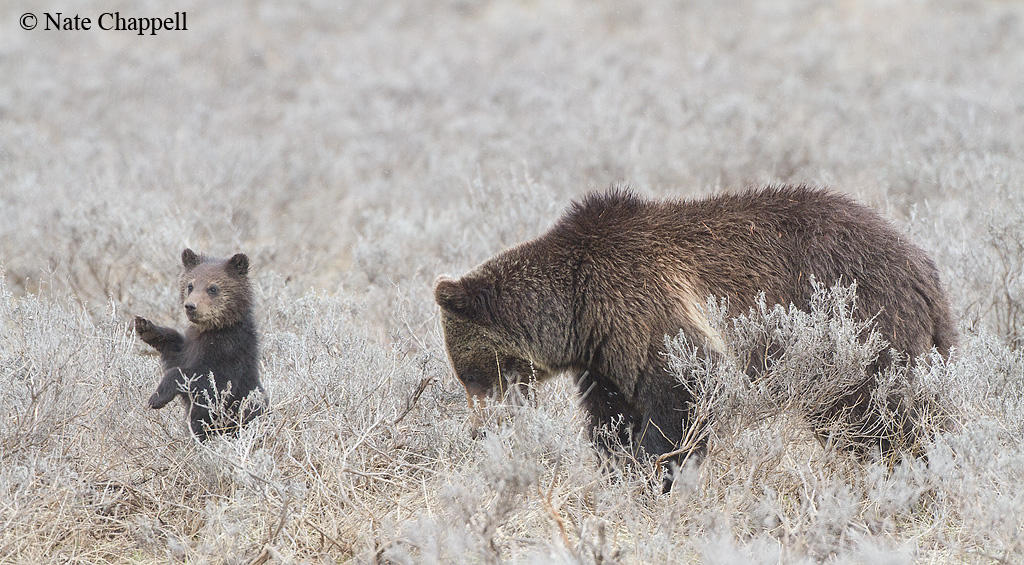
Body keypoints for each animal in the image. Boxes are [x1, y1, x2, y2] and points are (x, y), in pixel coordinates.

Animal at [135, 248, 266, 442]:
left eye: (213, 288)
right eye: (190, 285)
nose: (190, 306)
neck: (212, 330)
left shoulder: (230, 351)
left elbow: (210, 382)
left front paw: (157, 398)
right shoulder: (191, 347)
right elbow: (175, 353)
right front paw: (146, 326)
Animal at [434, 185, 957, 489]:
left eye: (472, 375)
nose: (481, 427)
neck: (577, 310)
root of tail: (923, 266)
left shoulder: (645, 307)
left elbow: (682, 396)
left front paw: (654, 473)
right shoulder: (606, 357)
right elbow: (612, 417)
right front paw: (617, 471)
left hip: (859, 322)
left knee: (878, 411)